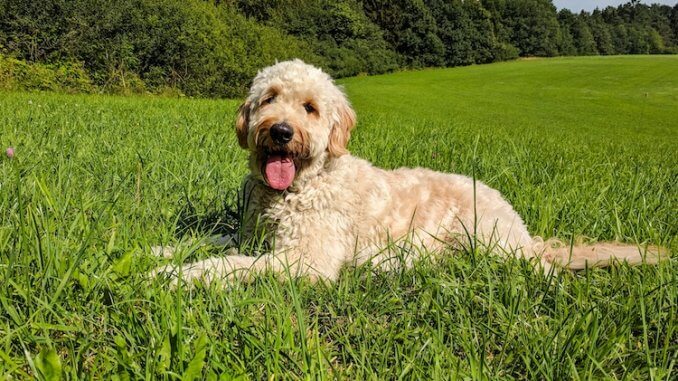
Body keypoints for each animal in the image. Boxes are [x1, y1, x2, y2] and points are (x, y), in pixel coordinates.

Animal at [151, 60, 660, 284]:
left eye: (310, 108)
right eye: (270, 97)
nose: (279, 131)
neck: (296, 188)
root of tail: (523, 230)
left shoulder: (306, 260)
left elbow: (233, 265)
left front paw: (180, 274)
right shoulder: (252, 234)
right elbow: (217, 239)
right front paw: (161, 250)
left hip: (489, 241)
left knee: (537, 269)